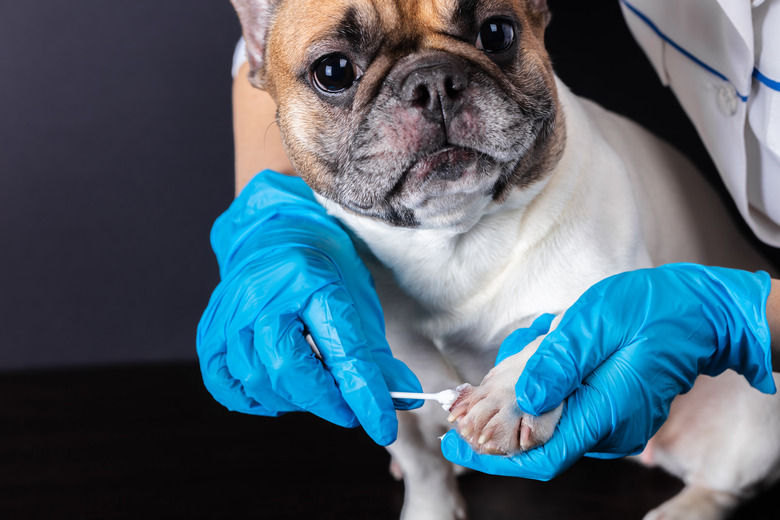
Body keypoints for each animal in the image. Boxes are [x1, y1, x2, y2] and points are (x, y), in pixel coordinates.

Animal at [230, 1, 780, 520]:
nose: (432, 80)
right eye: (334, 72)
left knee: (725, 483)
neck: (452, 239)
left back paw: (684, 510)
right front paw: (431, 509)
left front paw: (505, 396)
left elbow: (559, 330)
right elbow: (422, 466)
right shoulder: (378, 385)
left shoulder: (616, 289)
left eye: (496, 33)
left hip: (749, 424)